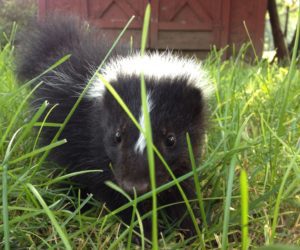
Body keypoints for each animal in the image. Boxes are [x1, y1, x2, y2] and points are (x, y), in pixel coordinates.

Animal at [16, 16, 212, 236]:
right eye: (117, 136)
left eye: (171, 139)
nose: (134, 185)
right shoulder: (92, 141)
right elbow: (108, 187)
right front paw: (140, 230)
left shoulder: (186, 156)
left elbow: (181, 185)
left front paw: (191, 226)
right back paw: (72, 202)